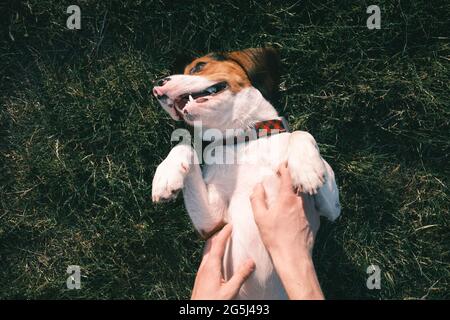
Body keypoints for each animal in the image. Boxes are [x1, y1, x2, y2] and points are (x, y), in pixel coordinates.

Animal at [151, 47, 342, 300]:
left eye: (198, 66)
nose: (156, 85)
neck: (244, 139)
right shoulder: (213, 225)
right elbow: (184, 147)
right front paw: (165, 176)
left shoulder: (331, 211)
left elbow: (301, 132)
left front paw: (307, 169)